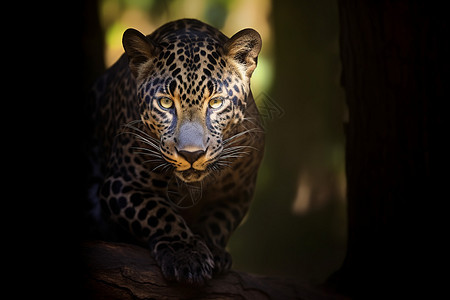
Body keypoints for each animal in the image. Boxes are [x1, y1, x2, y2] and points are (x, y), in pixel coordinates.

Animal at [86, 17, 264, 284]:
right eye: (166, 103)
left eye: (215, 102)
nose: (191, 154)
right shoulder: (121, 184)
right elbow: (159, 214)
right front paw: (187, 254)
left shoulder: (238, 192)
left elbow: (219, 220)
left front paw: (212, 249)